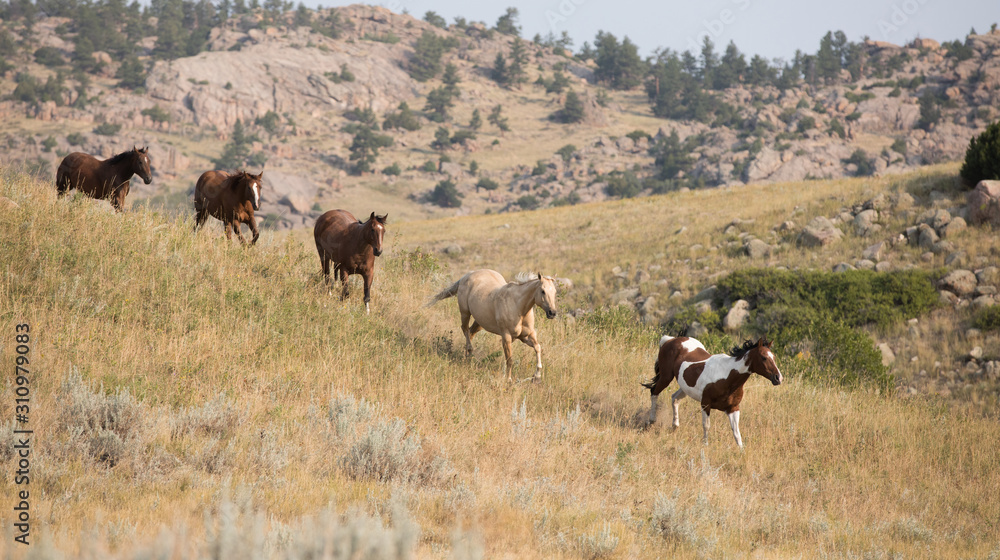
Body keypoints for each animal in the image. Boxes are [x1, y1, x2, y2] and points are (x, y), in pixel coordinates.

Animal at [426, 270, 560, 382]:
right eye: (543, 291)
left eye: (554, 292)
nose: (552, 313)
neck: (518, 307)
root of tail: (467, 275)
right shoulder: (506, 337)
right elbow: (509, 359)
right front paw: (509, 380)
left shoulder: (527, 336)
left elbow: (538, 348)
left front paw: (536, 376)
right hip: (465, 313)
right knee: (465, 329)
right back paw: (469, 352)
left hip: (480, 322)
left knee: (470, 332)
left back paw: (467, 357)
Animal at [644, 334, 784, 448]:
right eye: (763, 357)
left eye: (774, 357)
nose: (778, 378)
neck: (726, 376)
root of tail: (670, 339)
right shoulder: (705, 404)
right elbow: (706, 425)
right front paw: (705, 445)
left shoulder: (733, 408)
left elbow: (736, 433)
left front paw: (741, 451)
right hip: (666, 377)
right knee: (654, 392)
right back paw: (652, 421)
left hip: (684, 387)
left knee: (674, 398)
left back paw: (675, 425)